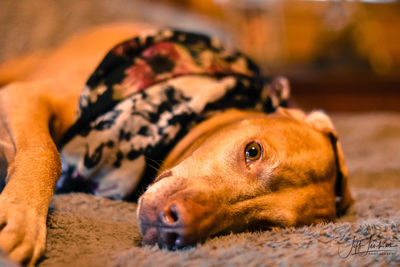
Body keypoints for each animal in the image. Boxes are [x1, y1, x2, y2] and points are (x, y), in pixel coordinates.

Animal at [0, 24, 352, 266]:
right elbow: (46, 154)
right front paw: (21, 220)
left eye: (263, 226)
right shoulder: (24, 95)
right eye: (253, 151)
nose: (176, 226)